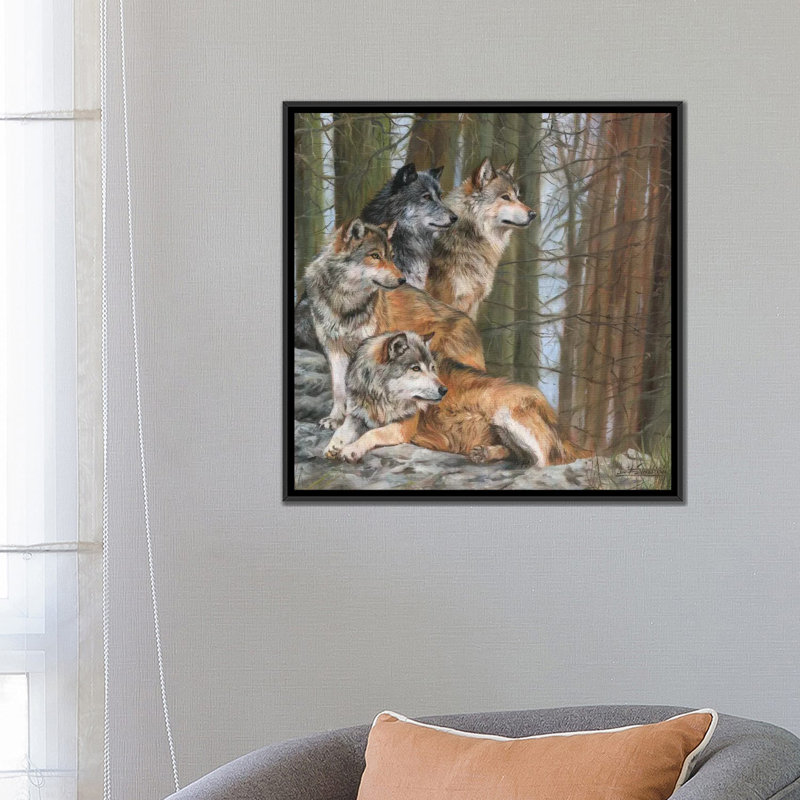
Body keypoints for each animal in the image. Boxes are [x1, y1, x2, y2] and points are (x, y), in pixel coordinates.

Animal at [305, 219, 484, 429]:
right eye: (375, 256)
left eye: (391, 257)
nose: (402, 280)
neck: (346, 303)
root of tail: (471, 324)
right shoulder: (334, 350)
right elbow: (339, 389)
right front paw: (335, 419)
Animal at [324, 330, 589, 466]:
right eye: (415, 369)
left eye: (432, 367)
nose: (443, 391)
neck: (380, 397)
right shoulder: (357, 414)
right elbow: (344, 430)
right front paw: (333, 446)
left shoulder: (403, 429)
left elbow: (372, 434)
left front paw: (351, 450)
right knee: (519, 454)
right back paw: (484, 454)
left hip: (505, 416)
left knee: (545, 460)